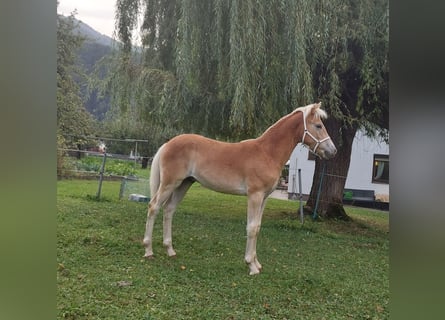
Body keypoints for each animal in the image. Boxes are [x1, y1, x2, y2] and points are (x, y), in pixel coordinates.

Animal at [143, 102, 336, 276]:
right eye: (318, 125)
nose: (332, 151)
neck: (267, 153)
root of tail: (167, 144)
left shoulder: (264, 198)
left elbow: (257, 227)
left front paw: (257, 263)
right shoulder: (254, 196)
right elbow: (251, 227)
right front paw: (251, 266)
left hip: (184, 184)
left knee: (169, 210)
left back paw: (170, 250)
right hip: (170, 183)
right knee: (154, 207)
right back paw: (148, 251)